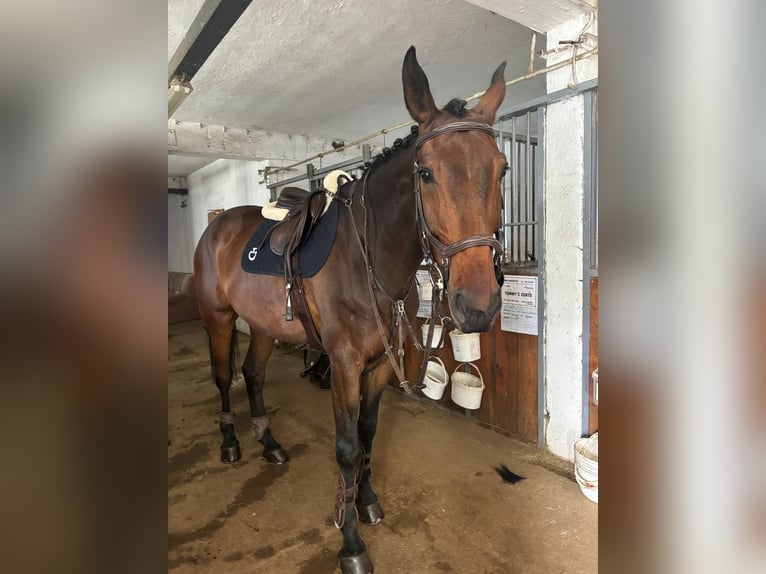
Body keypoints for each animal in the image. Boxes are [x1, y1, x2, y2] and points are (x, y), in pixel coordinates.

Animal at [193, 46, 508, 574]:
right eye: (425, 173)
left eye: (502, 169)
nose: (478, 305)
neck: (369, 260)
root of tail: (218, 226)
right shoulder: (342, 365)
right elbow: (345, 448)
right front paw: (351, 543)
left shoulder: (378, 366)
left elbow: (368, 433)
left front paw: (366, 500)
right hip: (218, 320)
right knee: (222, 376)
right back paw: (231, 443)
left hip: (262, 326)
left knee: (253, 373)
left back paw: (270, 444)